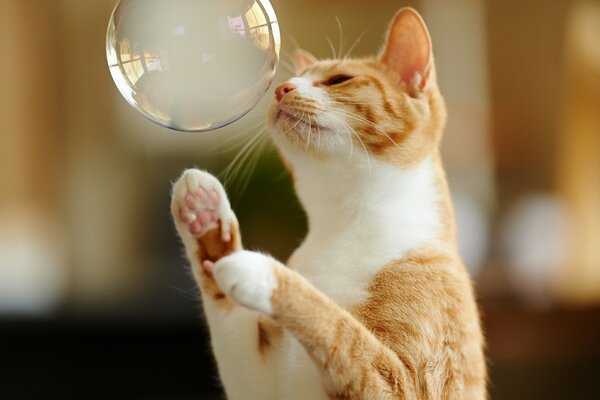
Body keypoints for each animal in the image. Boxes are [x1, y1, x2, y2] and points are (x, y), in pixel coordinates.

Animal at [170, 7, 488, 400]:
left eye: (338, 79)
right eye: (290, 80)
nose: (282, 88)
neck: (345, 224)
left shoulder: (405, 384)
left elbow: (338, 326)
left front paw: (263, 274)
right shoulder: (256, 384)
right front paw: (204, 215)